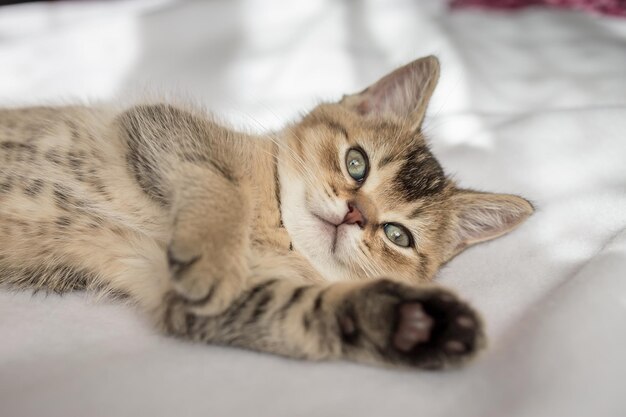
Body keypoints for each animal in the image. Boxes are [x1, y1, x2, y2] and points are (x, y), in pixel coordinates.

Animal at [0, 54, 532, 368]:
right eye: (356, 163)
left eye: (398, 236)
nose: (355, 215)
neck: (275, 228)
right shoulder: (157, 124)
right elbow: (222, 185)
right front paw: (215, 254)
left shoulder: (188, 293)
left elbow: (298, 309)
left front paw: (416, 325)